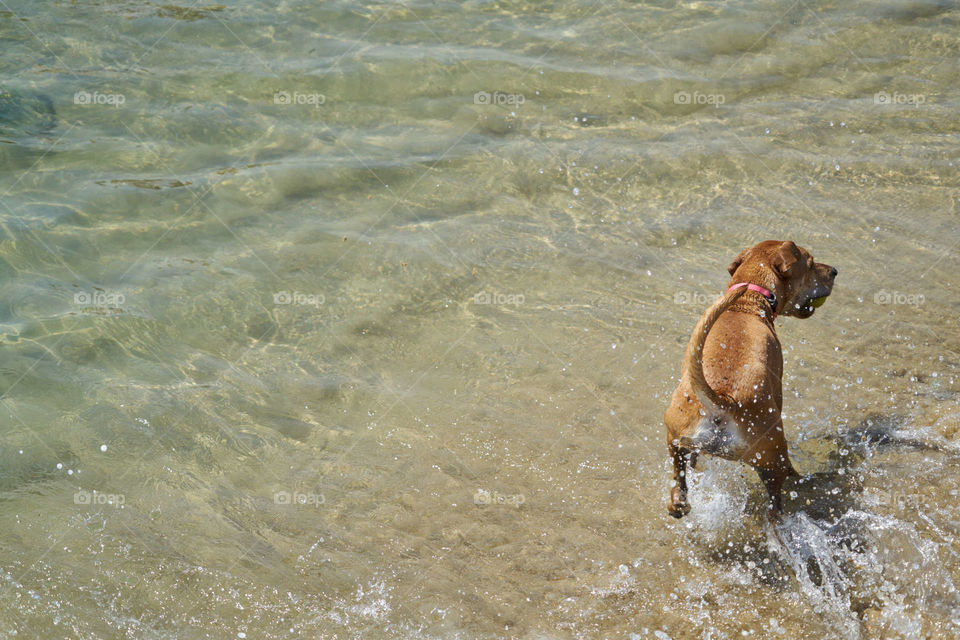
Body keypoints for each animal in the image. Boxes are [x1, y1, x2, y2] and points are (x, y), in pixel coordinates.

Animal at [664, 239, 836, 520]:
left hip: (675, 436)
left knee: (678, 489)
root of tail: (724, 400)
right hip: (774, 453)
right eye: (811, 263)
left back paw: (680, 503)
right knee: (776, 500)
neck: (746, 301)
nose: (834, 271)